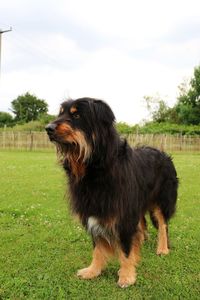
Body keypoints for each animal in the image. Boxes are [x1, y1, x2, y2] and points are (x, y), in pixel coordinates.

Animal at [45, 97, 178, 288]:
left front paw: (127, 275)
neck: (95, 168)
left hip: (162, 199)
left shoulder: (123, 213)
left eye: (76, 115)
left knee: (163, 224)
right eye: (60, 113)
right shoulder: (93, 209)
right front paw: (93, 270)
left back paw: (162, 248)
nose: (48, 128)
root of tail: (164, 154)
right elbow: (98, 246)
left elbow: (125, 248)